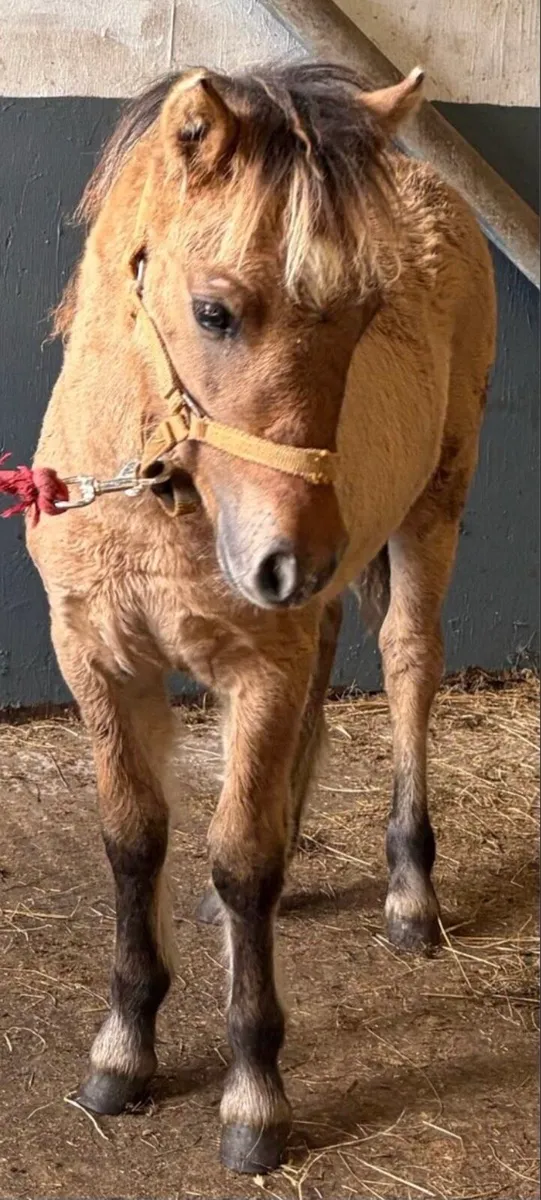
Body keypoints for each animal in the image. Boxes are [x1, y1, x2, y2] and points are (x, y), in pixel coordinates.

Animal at [27, 60, 496, 1174]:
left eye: (365, 314)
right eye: (214, 311)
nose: (290, 561)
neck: (152, 499)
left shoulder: (257, 667)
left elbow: (240, 860)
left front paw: (253, 1100)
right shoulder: (97, 662)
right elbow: (132, 838)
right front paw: (122, 1051)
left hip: (430, 514)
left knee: (408, 665)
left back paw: (410, 895)